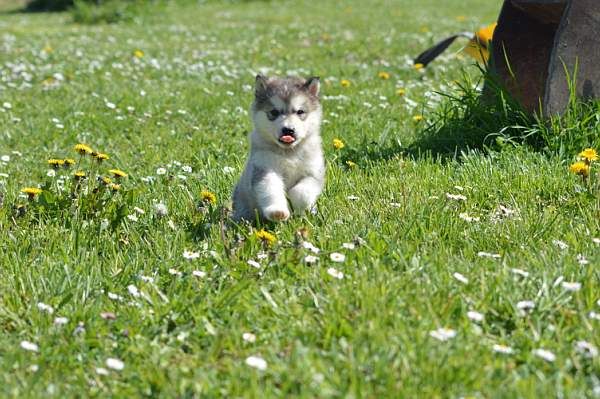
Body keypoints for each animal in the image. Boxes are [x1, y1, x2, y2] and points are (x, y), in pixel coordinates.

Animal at [233, 74, 326, 222]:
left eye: (300, 111)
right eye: (274, 112)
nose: (288, 130)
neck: (289, 153)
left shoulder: (313, 173)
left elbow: (301, 192)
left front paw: (295, 205)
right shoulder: (264, 169)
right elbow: (271, 190)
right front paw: (278, 212)